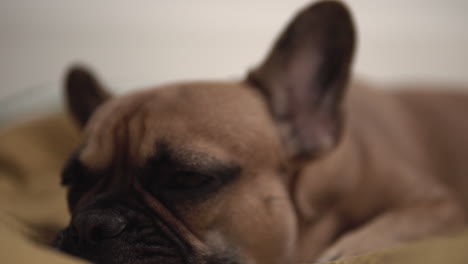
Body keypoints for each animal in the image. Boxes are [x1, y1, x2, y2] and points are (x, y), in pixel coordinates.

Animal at [53, 1, 468, 262]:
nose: (91, 224)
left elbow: (375, 237)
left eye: (187, 178)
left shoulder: (440, 206)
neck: (315, 204)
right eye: (72, 182)